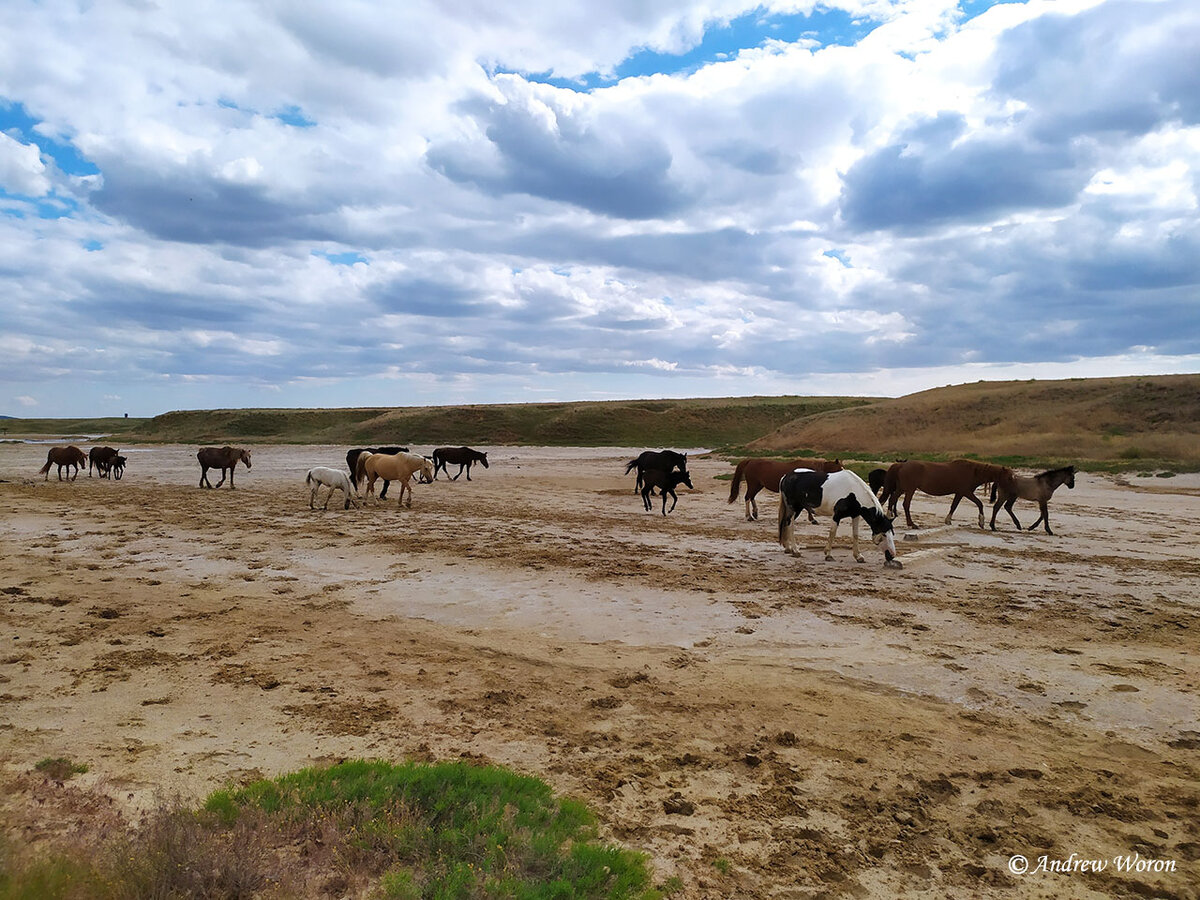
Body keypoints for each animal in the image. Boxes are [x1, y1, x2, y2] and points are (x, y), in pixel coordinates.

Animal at [883, 458, 1012, 528]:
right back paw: (911, 524)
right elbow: (979, 503)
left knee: (892, 499)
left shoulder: (959, 493)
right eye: (1009, 477)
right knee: (905, 504)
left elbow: (954, 506)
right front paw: (981, 522)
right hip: (910, 489)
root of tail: (901, 464)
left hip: (902, 489)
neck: (972, 472)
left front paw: (948, 520)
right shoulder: (966, 492)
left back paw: (889, 516)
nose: (1010, 491)